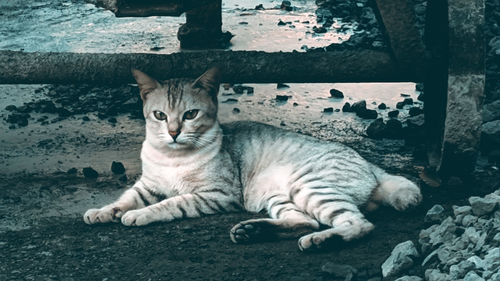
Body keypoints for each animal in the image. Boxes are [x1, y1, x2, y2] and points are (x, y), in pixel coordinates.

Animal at [83, 67, 422, 249]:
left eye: (190, 115)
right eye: (159, 115)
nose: (174, 132)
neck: (171, 157)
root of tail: (371, 165)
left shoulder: (216, 194)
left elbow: (171, 203)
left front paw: (140, 215)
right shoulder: (147, 185)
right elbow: (124, 199)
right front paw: (102, 212)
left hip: (310, 186)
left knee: (356, 223)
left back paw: (322, 241)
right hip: (278, 195)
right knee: (304, 220)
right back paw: (252, 230)